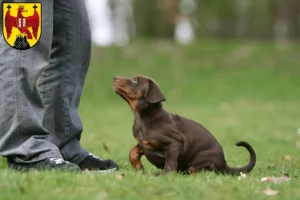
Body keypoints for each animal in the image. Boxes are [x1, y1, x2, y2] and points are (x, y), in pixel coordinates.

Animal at [112, 76, 255, 174]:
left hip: (200, 161)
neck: (143, 118)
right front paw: (138, 166)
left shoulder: (175, 143)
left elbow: (170, 165)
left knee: (196, 171)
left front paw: (165, 176)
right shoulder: (143, 143)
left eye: (135, 80)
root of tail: (224, 164)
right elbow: (132, 152)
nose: (114, 77)